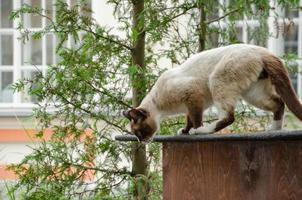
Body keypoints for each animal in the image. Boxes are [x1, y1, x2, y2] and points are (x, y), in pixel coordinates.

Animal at [122, 44, 302, 143]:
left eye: (139, 132)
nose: (141, 142)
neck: (161, 108)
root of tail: (264, 51)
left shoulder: (193, 95)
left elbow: (196, 120)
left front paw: (194, 131)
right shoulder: (192, 103)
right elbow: (189, 119)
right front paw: (184, 131)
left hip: (217, 81)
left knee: (229, 117)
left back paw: (202, 131)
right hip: (253, 94)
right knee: (279, 103)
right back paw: (274, 129)